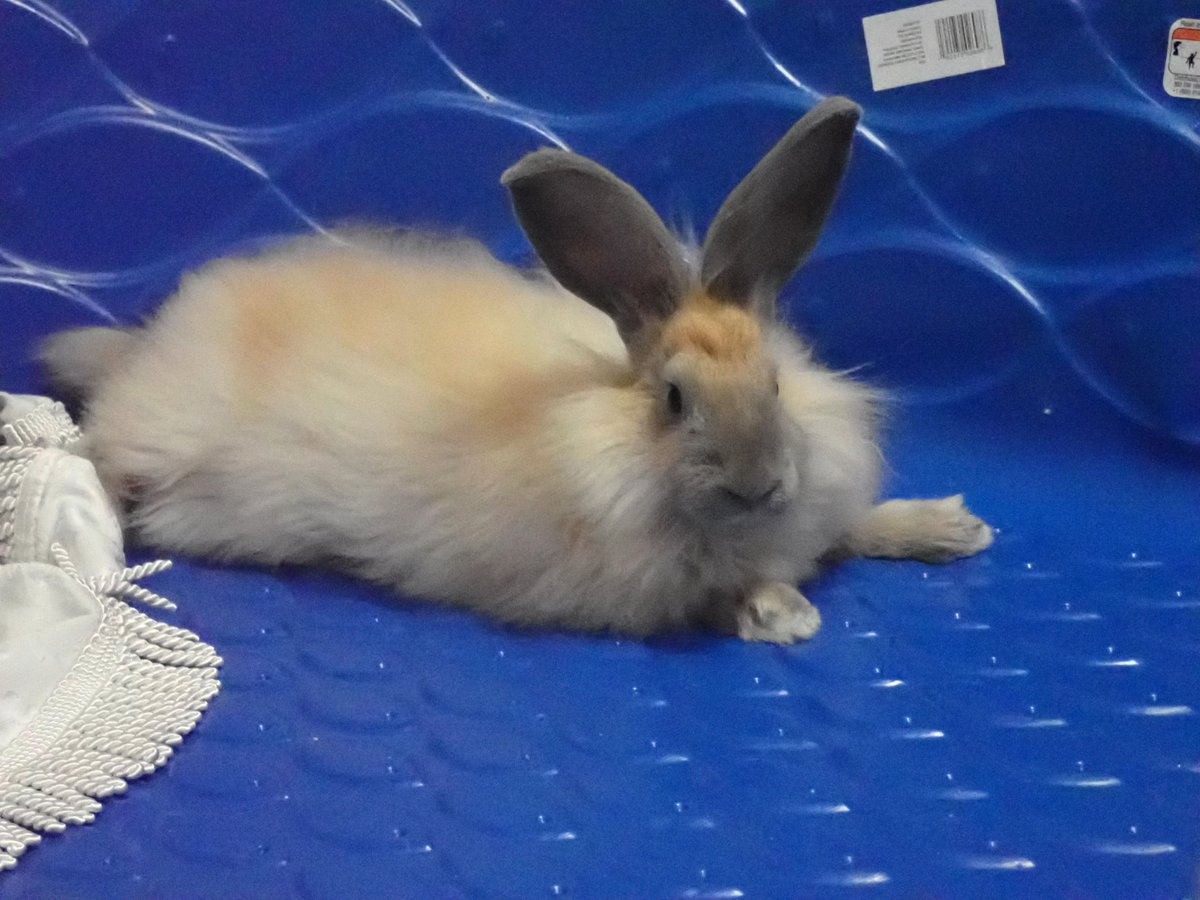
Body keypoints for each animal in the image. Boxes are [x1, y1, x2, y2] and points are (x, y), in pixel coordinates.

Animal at [41, 97, 992, 643]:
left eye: (779, 387)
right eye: (672, 399)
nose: (759, 485)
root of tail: (149, 348)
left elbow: (851, 527)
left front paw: (952, 529)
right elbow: (734, 592)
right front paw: (786, 615)